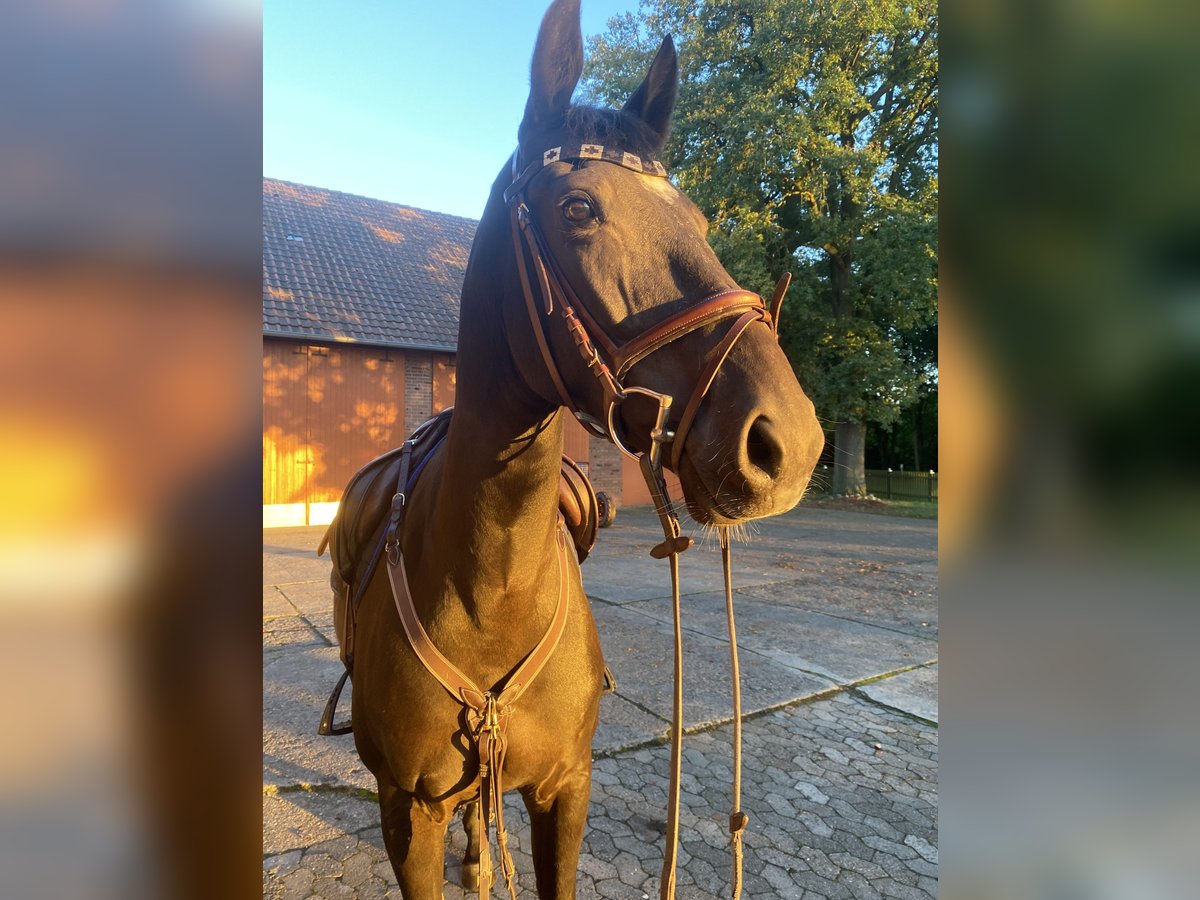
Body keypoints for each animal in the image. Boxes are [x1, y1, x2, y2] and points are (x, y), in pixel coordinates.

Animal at [328, 3, 825, 897]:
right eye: (578, 210)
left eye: (699, 222)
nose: (789, 442)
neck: (488, 592)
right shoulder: (405, 813)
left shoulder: (566, 789)